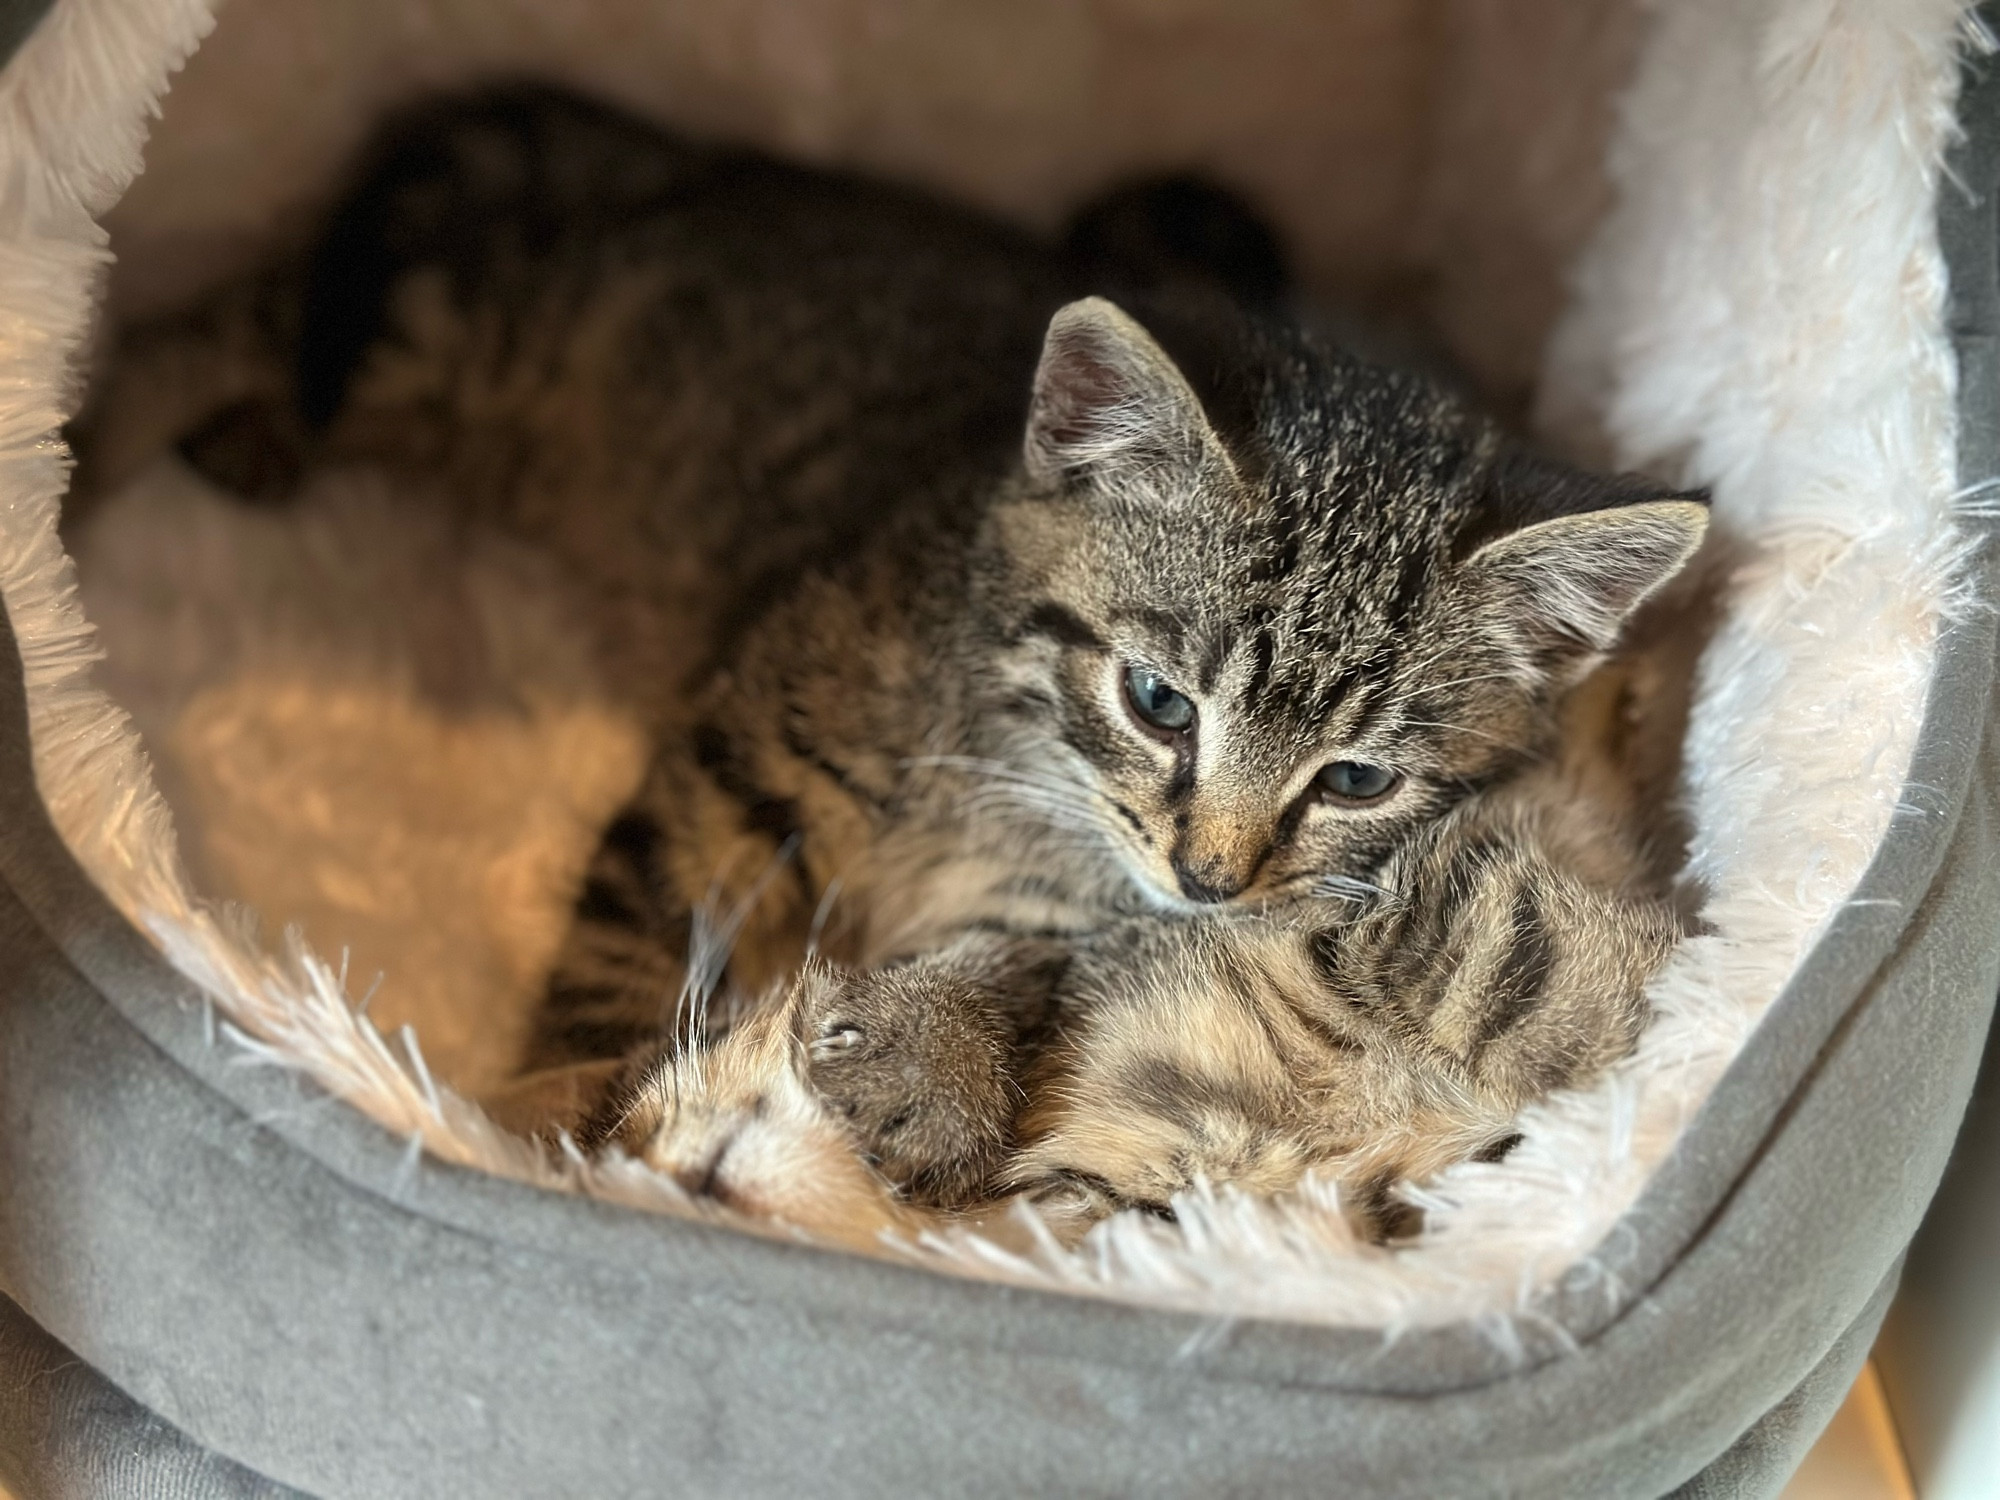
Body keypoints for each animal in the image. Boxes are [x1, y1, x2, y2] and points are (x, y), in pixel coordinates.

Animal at [78, 82, 1704, 1216]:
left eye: (1357, 783)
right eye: (1157, 701)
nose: (1211, 878)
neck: (1008, 769)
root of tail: (669, 158)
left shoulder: (1073, 914)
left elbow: (1011, 968)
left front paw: (935, 1061)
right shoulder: (735, 768)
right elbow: (630, 938)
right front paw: (555, 1103)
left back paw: (244, 442)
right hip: (460, 333)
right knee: (239, 315)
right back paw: (85, 448)